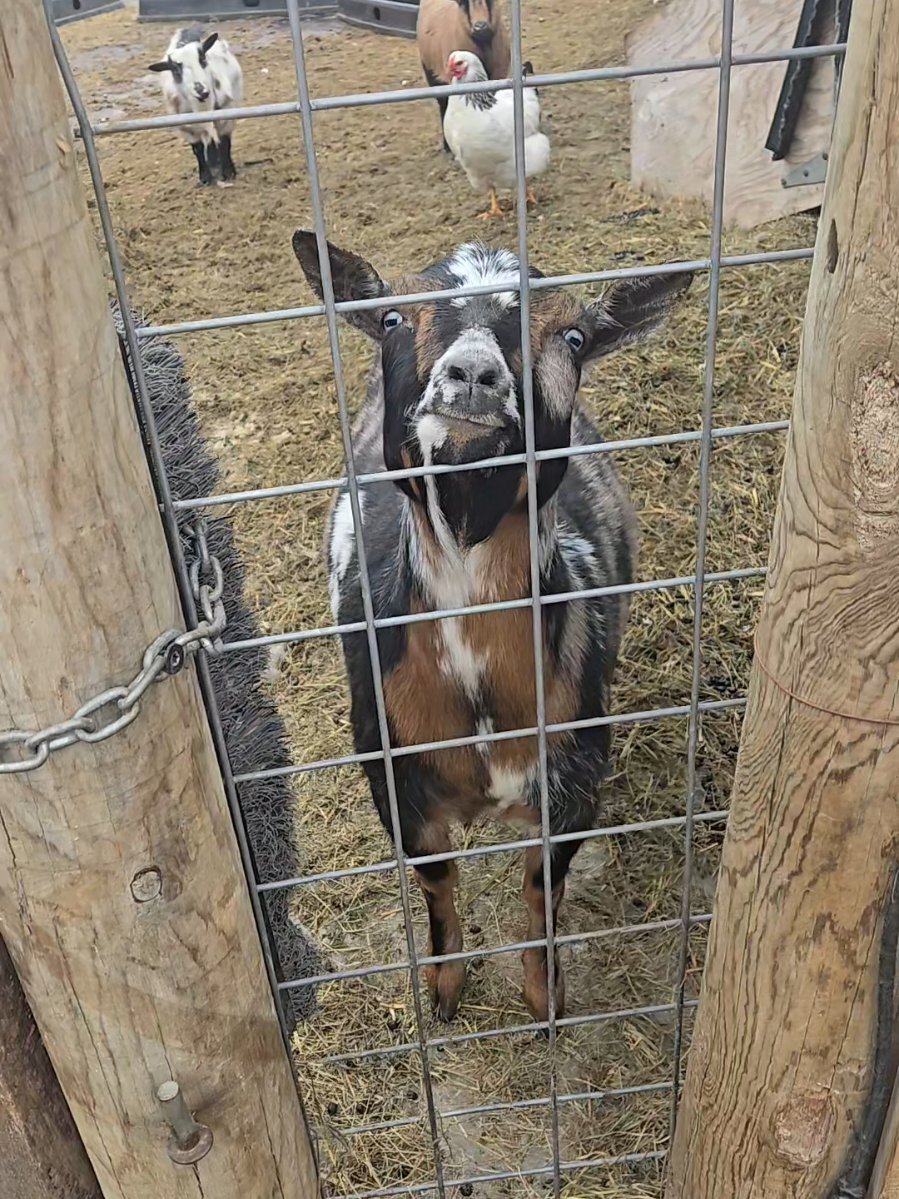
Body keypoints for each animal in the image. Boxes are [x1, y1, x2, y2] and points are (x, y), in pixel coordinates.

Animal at [148, 27, 243, 186]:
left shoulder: (226, 115)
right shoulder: (187, 127)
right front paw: (205, 178)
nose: (202, 91)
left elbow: (224, 143)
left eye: (202, 59)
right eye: (176, 70)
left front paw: (228, 172)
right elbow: (197, 149)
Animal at [292, 232, 691, 1023]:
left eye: (573, 335)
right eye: (391, 317)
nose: (473, 373)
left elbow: (542, 893)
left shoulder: (573, 779)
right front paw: (445, 991)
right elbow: (437, 886)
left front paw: (544, 999)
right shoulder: (394, 780)